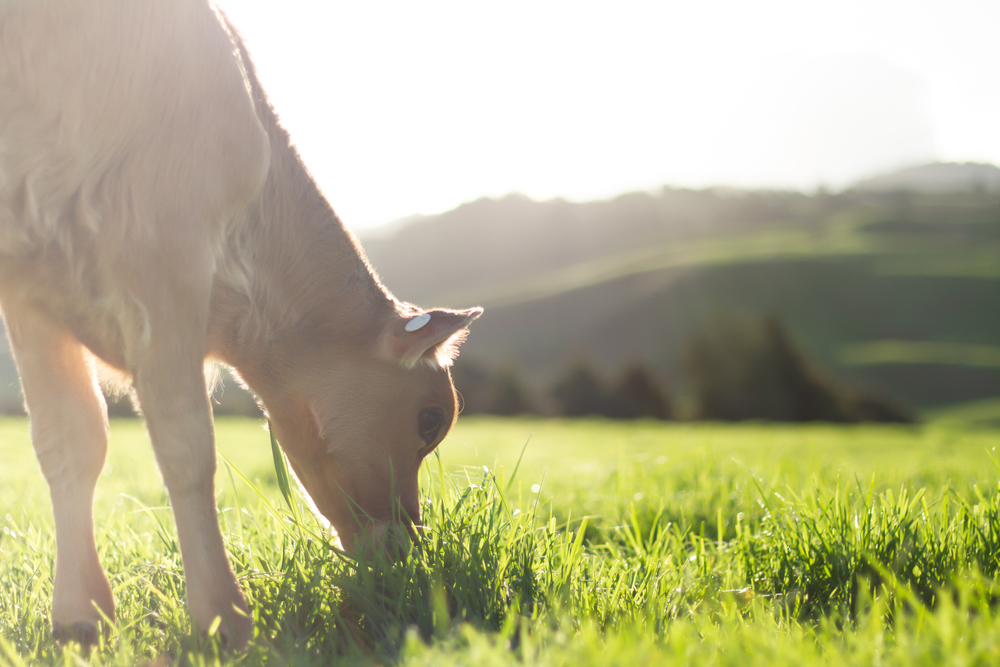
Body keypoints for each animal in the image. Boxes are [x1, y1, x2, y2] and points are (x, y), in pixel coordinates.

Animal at [0, 0, 480, 648]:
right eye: (431, 420)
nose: (407, 547)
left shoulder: (33, 284)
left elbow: (70, 440)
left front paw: (80, 618)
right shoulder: (163, 253)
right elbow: (185, 446)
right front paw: (223, 617)